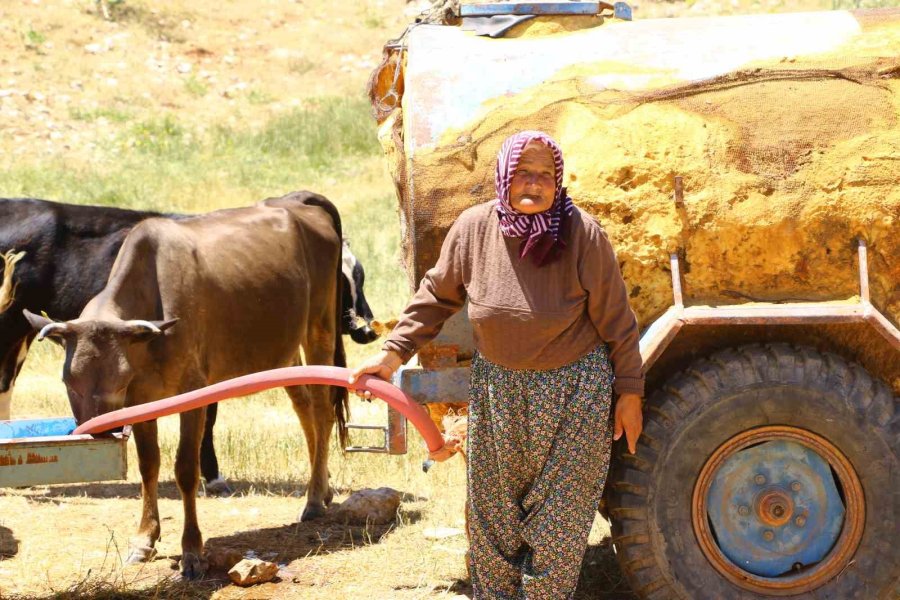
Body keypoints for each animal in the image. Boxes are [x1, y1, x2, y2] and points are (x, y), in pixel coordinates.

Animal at [0, 195, 380, 490]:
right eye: (67, 382)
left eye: (361, 277)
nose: (367, 328)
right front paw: (211, 475)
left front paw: (209, 475)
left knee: (310, 403)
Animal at [23, 191, 348, 576]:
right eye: (68, 379)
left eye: (120, 378)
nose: (101, 429)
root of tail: (295, 200)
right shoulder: (141, 400)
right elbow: (149, 465)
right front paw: (144, 539)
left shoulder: (192, 393)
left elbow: (185, 469)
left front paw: (192, 550)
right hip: (283, 351)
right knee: (304, 408)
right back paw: (322, 486)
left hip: (320, 328)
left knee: (322, 411)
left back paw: (313, 498)